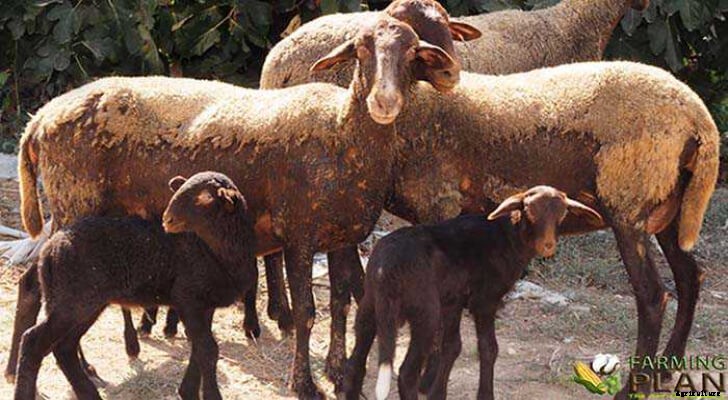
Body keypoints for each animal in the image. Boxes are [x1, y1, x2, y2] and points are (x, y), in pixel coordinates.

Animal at [14, 171, 258, 400]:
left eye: (205, 197)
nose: (167, 219)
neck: (215, 252)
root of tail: (49, 249)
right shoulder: (188, 299)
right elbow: (208, 350)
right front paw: (208, 394)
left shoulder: (206, 305)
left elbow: (199, 349)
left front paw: (187, 390)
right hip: (71, 302)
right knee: (34, 342)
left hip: (86, 304)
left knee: (64, 348)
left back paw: (89, 393)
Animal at [343, 186, 603, 400]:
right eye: (529, 211)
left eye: (562, 214)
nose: (548, 246)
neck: (508, 235)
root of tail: (385, 268)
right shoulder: (485, 301)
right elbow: (488, 348)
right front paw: (485, 395)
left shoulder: (453, 300)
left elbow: (451, 346)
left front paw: (438, 394)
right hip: (425, 312)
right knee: (407, 373)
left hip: (370, 305)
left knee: (356, 364)